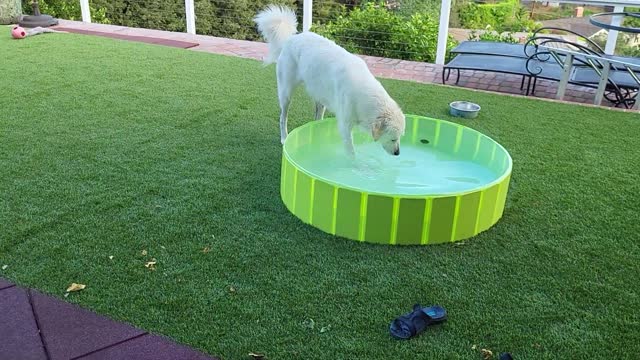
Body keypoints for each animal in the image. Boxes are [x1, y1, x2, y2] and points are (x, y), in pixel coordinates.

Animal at [254, 4, 404, 155]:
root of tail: (291, 38)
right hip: (286, 94)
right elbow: (351, 152)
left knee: (317, 119)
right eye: (393, 138)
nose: (398, 153)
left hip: (320, 97)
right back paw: (284, 138)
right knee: (282, 117)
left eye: (400, 137)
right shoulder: (345, 126)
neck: (365, 93)